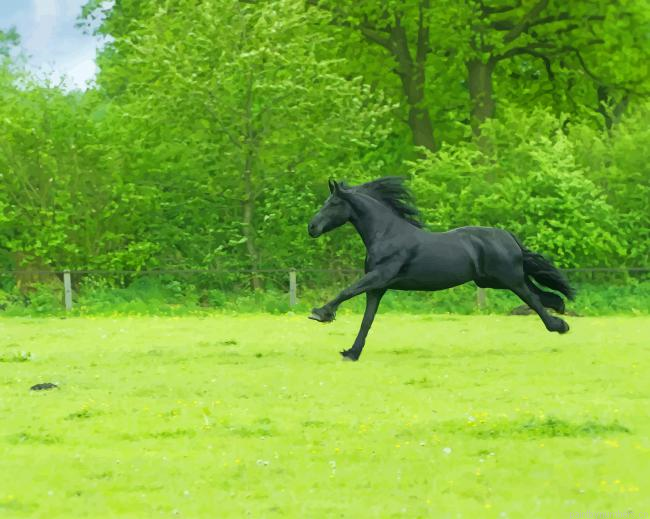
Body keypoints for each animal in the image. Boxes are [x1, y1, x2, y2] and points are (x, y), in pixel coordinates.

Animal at [307, 177, 575, 361]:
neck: (386, 234)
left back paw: (559, 326)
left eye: (333, 203)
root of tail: (508, 236)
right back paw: (560, 308)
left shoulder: (379, 276)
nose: (311, 227)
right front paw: (352, 352)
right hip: (494, 280)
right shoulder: (378, 287)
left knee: (533, 299)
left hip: (509, 279)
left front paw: (321, 314)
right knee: (542, 294)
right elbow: (367, 320)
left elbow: (347, 291)